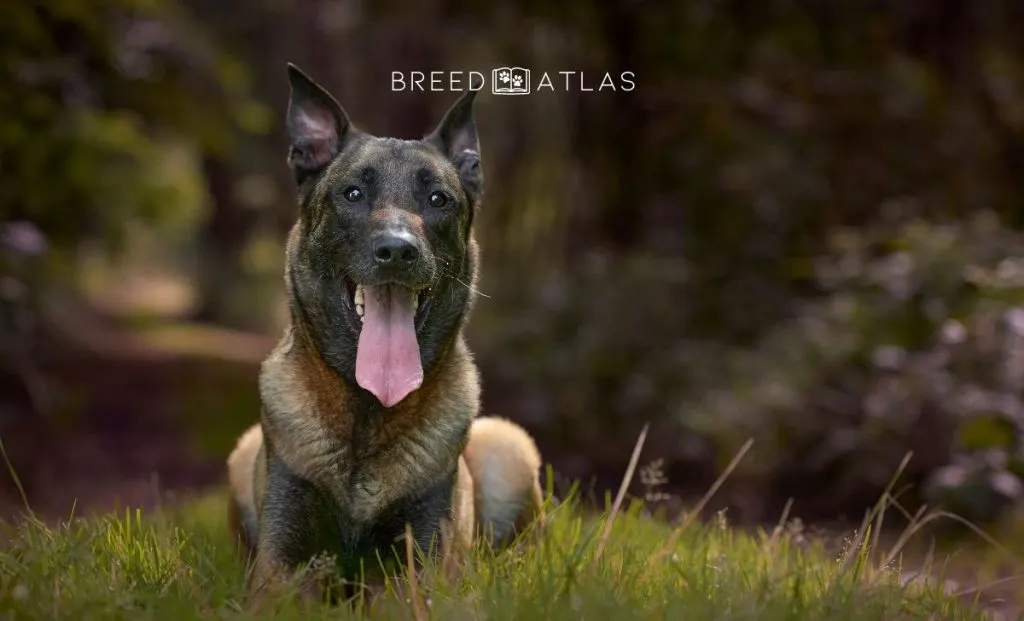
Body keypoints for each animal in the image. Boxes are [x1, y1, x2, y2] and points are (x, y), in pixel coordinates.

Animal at [224, 65, 544, 606]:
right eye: (353, 193)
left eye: (438, 200)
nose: (397, 250)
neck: (368, 413)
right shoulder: (278, 565)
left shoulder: (423, 565)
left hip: (509, 444)